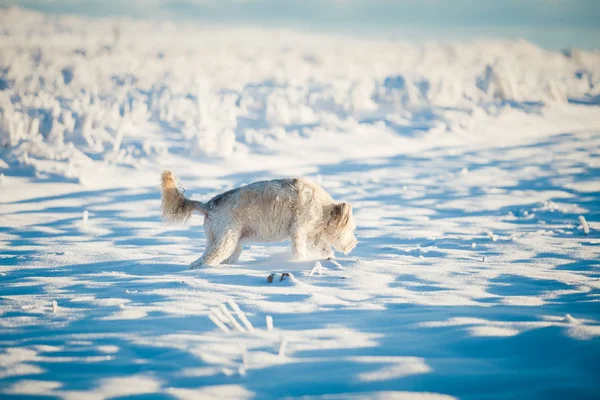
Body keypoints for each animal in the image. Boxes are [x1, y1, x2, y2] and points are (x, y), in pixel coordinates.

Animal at [158, 170, 356, 268]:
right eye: (352, 229)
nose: (355, 243)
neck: (323, 208)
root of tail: (208, 205)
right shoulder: (298, 230)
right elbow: (299, 250)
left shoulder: (312, 234)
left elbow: (324, 247)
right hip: (225, 241)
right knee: (202, 261)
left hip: (232, 243)